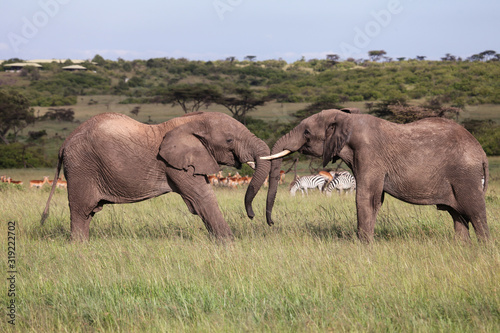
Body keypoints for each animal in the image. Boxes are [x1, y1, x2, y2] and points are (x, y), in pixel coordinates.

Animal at [41, 112, 272, 241]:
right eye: (229, 140)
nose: (253, 216)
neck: (193, 120)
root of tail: (64, 143)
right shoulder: (174, 165)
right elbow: (202, 198)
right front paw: (230, 244)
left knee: (88, 213)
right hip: (81, 168)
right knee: (81, 211)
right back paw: (79, 247)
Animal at [264, 109, 490, 241]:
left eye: (307, 133)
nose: (272, 223)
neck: (347, 119)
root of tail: (482, 153)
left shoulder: (369, 155)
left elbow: (366, 197)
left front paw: (364, 246)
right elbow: (375, 199)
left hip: (465, 175)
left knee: (475, 212)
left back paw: (483, 249)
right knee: (458, 215)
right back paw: (462, 247)